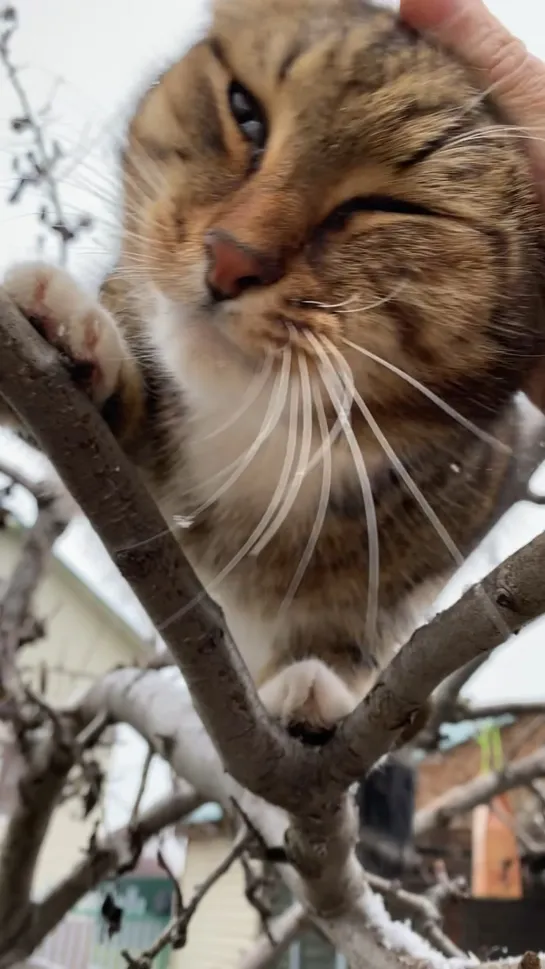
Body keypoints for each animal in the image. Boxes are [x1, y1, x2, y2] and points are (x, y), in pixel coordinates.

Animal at [2, 1, 540, 740]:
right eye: (244, 113)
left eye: (393, 208)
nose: (230, 258)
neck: (265, 428)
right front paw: (74, 335)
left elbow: (360, 614)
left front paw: (320, 680)